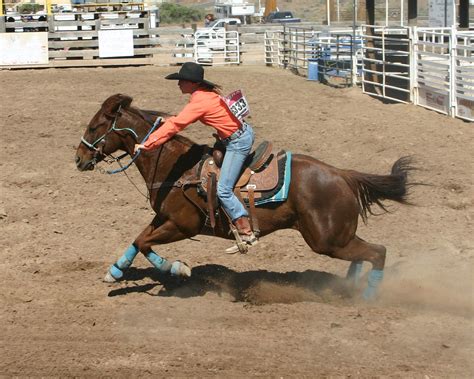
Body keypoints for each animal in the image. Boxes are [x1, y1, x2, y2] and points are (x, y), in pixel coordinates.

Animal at [75, 94, 414, 300]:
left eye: (94, 126)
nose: (78, 159)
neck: (175, 166)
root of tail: (343, 174)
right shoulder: (164, 218)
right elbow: (137, 240)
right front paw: (114, 272)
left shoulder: (183, 225)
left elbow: (146, 244)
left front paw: (178, 268)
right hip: (336, 238)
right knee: (364, 255)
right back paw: (348, 287)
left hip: (327, 240)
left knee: (378, 253)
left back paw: (367, 297)